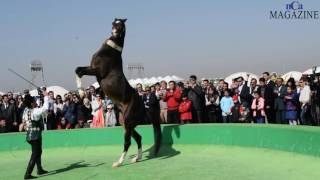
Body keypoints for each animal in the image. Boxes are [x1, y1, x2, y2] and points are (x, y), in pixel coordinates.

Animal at [74, 18, 161, 167]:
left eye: (121, 26)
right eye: (114, 23)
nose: (115, 32)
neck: (110, 51)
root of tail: (144, 107)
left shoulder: (97, 71)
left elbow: (79, 71)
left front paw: (80, 92)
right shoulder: (91, 68)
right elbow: (77, 69)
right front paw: (81, 92)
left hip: (127, 122)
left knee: (128, 142)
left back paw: (118, 163)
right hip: (126, 124)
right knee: (138, 138)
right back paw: (136, 158)